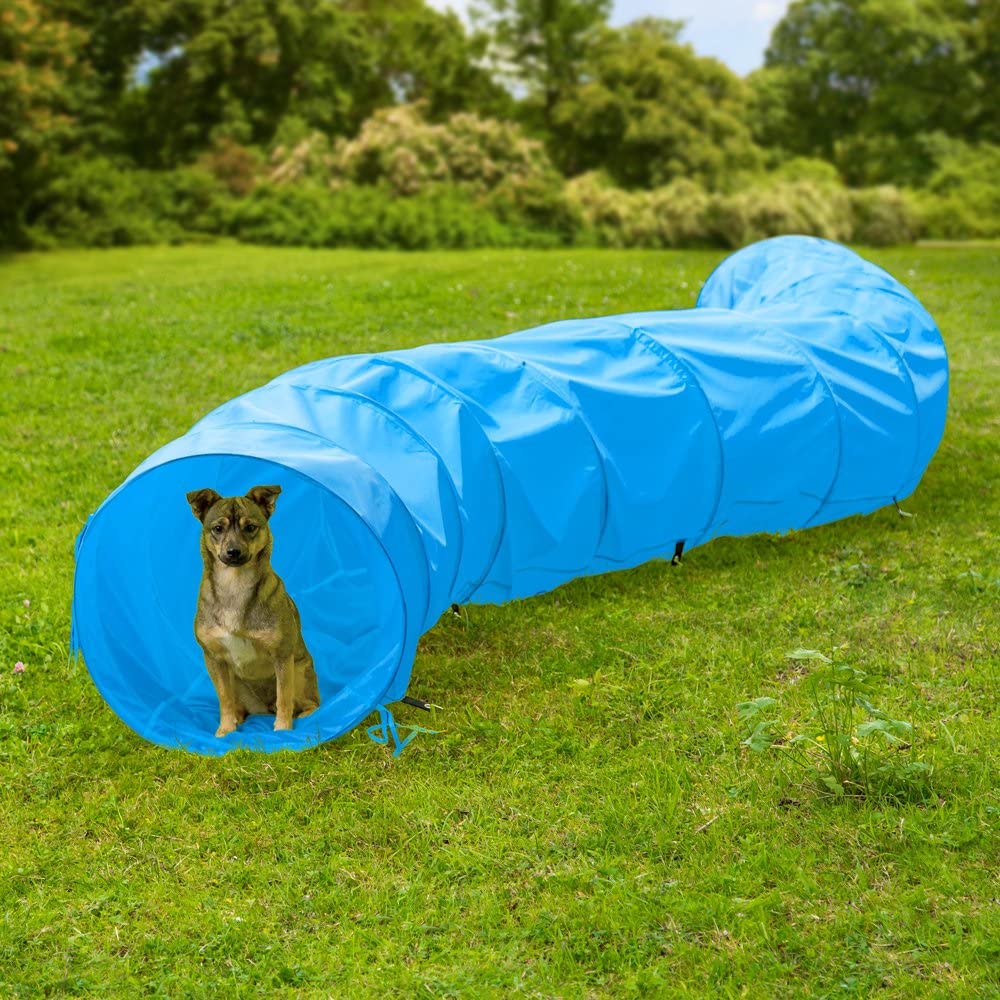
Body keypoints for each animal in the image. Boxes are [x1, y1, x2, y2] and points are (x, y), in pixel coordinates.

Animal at [184, 484, 316, 736]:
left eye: (251, 528)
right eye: (217, 528)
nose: (233, 551)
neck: (234, 585)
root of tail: (264, 708)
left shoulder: (282, 656)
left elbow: (284, 697)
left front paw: (283, 729)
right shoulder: (214, 659)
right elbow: (224, 699)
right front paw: (226, 730)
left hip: (300, 673)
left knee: (308, 702)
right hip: (237, 684)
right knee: (237, 703)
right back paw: (238, 717)